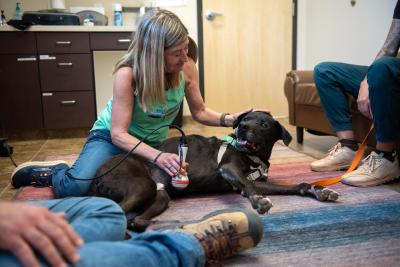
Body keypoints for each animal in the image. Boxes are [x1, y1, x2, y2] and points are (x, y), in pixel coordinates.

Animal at [89, 112, 340, 231]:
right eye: (245, 118)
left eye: (263, 124)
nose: (242, 127)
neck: (254, 157)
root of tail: (96, 172)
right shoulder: (228, 169)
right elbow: (247, 187)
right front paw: (258, 201)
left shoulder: (260, 181)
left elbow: (296, 186)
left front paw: (320, 190)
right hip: (142, 185)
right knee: (119, 214)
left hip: (160, 196)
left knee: (134, 219)